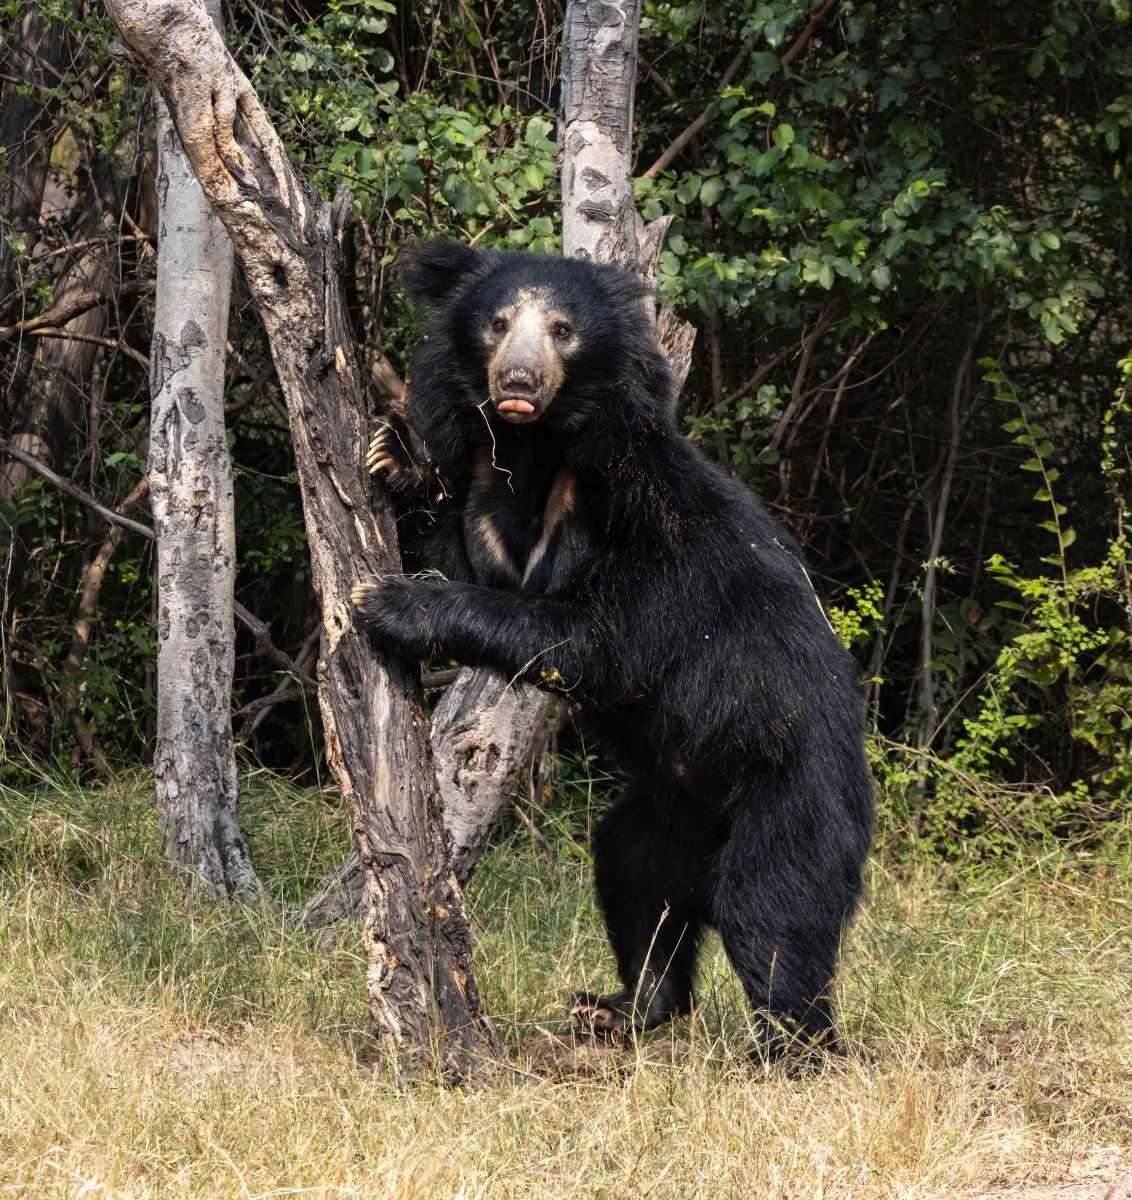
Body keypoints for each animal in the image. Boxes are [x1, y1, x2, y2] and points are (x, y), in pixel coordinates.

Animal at [355, 243, 878, 1060]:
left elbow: (600, 641)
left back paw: (791, 1049)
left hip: (790, 799)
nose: (517, 382)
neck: (542, 446)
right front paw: (399, 455)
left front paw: (385, 603)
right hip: (660, 819)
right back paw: (626, 1007)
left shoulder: (647, 521)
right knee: (637, 884)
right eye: (497, 323)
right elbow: (479, 562)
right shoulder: (500, 501)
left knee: (774, 914)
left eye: (563, 330)